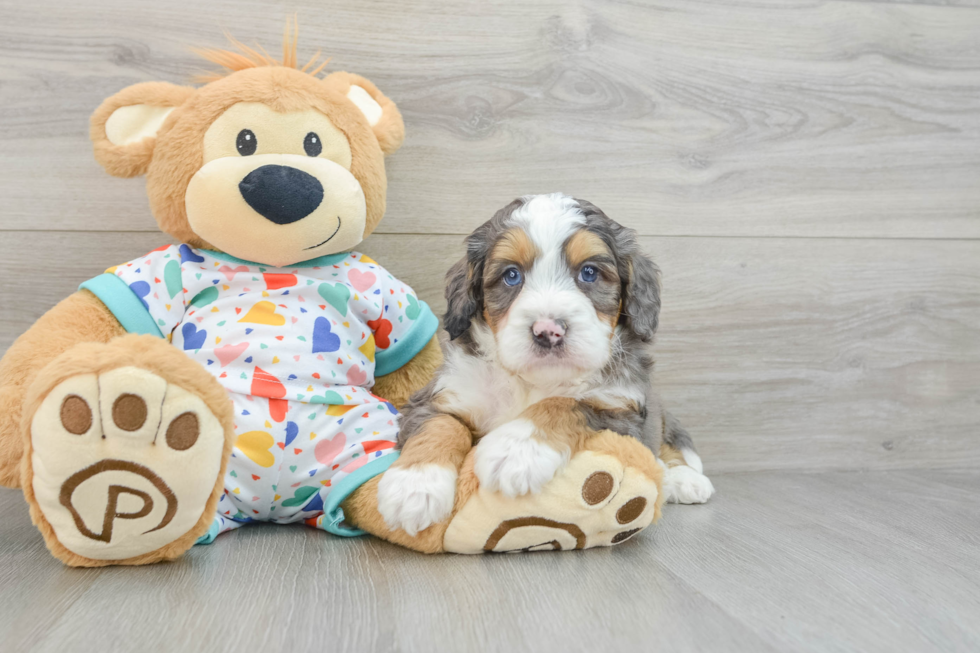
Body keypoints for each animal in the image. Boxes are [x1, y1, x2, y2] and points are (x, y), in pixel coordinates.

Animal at [378, 192, 712, 536]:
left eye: (589, 272)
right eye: (512, 275)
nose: (548, 331)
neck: (532, 380)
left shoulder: (621, 409)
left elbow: (565, 403)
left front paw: (516, 451)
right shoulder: (443, 393)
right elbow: (439, 425)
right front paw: (414, 487)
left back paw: (684, 479)